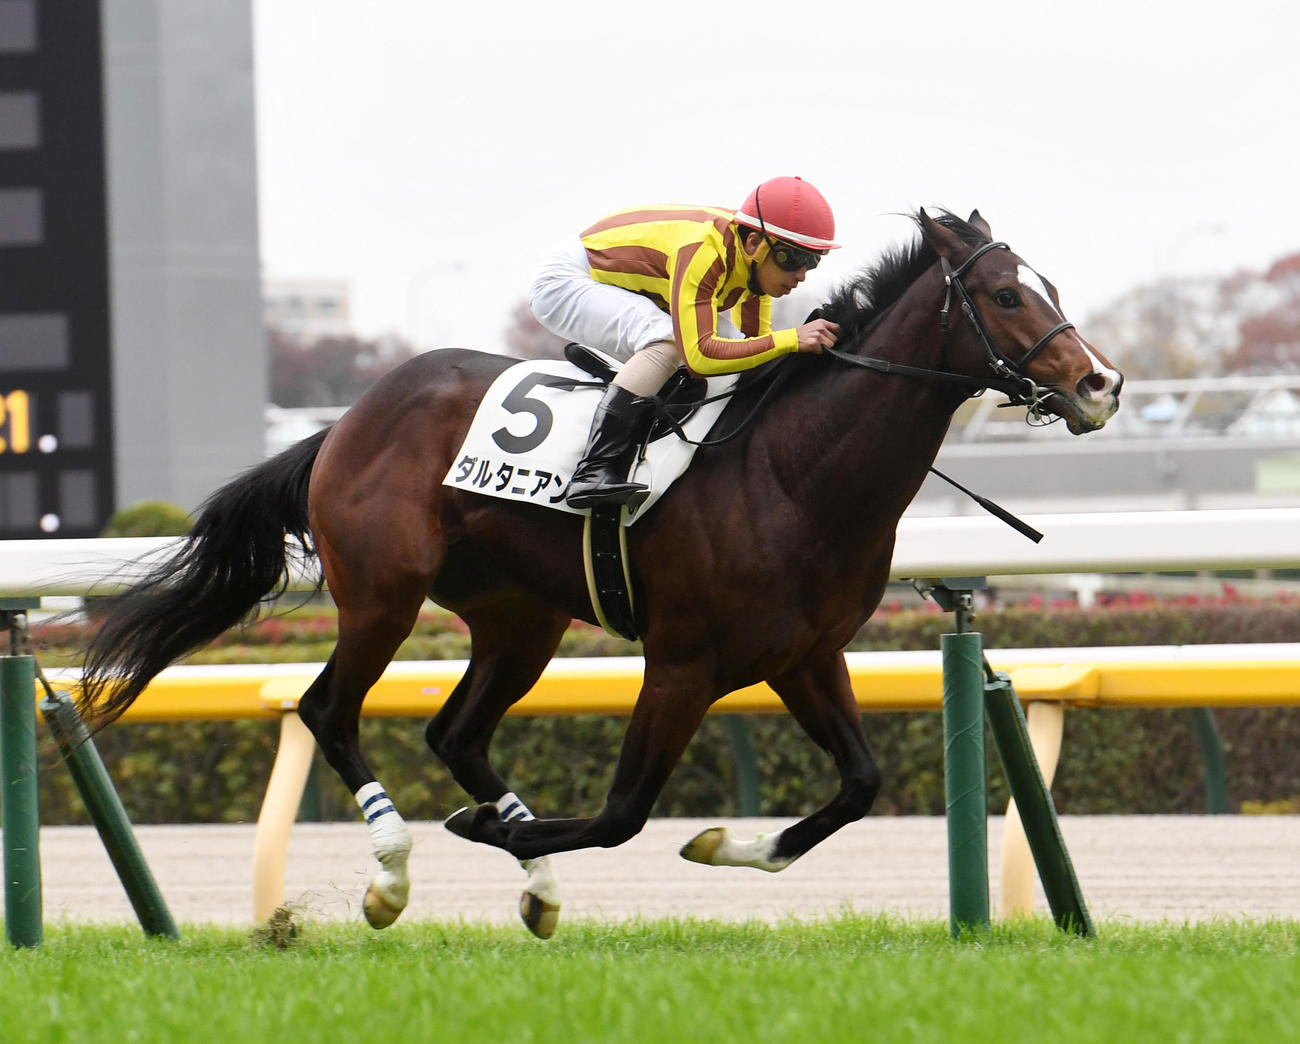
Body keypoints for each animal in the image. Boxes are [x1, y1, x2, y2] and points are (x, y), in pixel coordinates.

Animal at [78, 209, 1122, 937]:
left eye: (1046, 284)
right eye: (1006, 297)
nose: (1100, 385)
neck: (794, 472)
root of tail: (345, 421)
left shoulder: (805, 656)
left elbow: (859, 786)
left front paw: (724, 841)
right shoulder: (683, 663)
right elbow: (623, 813)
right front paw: (492, 833)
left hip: (519, 619)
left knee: (456, 733)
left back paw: (531, 882)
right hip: (382, 595)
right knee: (327, 710)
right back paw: (393, 870)